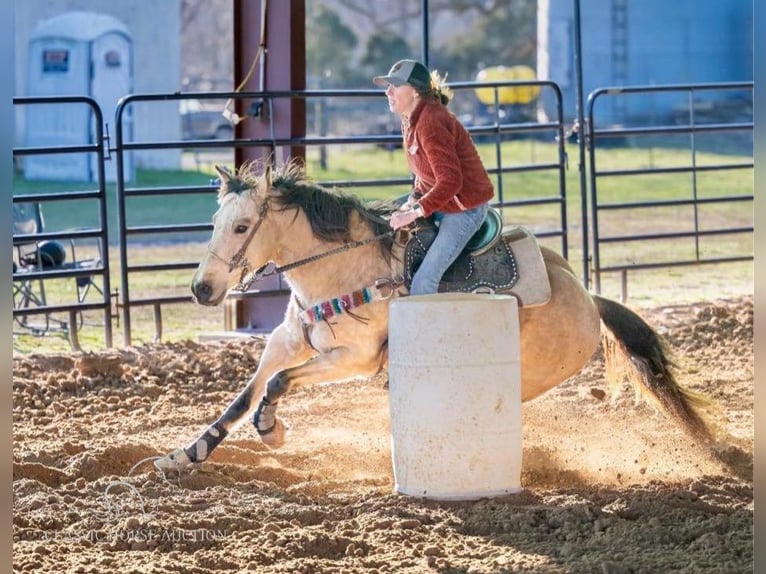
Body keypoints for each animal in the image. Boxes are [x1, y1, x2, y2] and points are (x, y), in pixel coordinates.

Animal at [153, 159, 716, 472]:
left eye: (242, 226)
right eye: (215, 221)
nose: (202, 288)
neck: (340, 267)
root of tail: (588, 297)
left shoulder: (352, 358)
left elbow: (275, 386)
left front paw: (272, 429)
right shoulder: (288, 342)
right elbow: (244, 396)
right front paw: (187, 453)